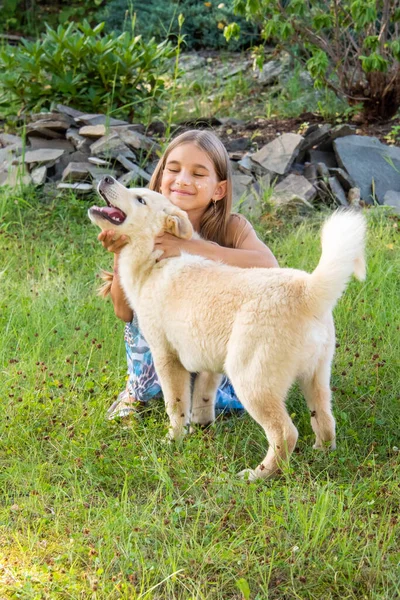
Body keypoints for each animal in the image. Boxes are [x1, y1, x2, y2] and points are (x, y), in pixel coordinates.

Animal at [89, 176, 368, 480]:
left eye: (140, 199)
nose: (107, 178)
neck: (157, 257)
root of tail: (306, 291)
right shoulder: (209, 362)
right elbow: (203, 399)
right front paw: (201, 429)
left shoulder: (166, 357)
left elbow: (176, 406)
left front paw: (173, 440)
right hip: (316, 378)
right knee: (326, 420)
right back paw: (322, 454)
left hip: (251, 381)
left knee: (285, 433)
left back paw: (256, 476)